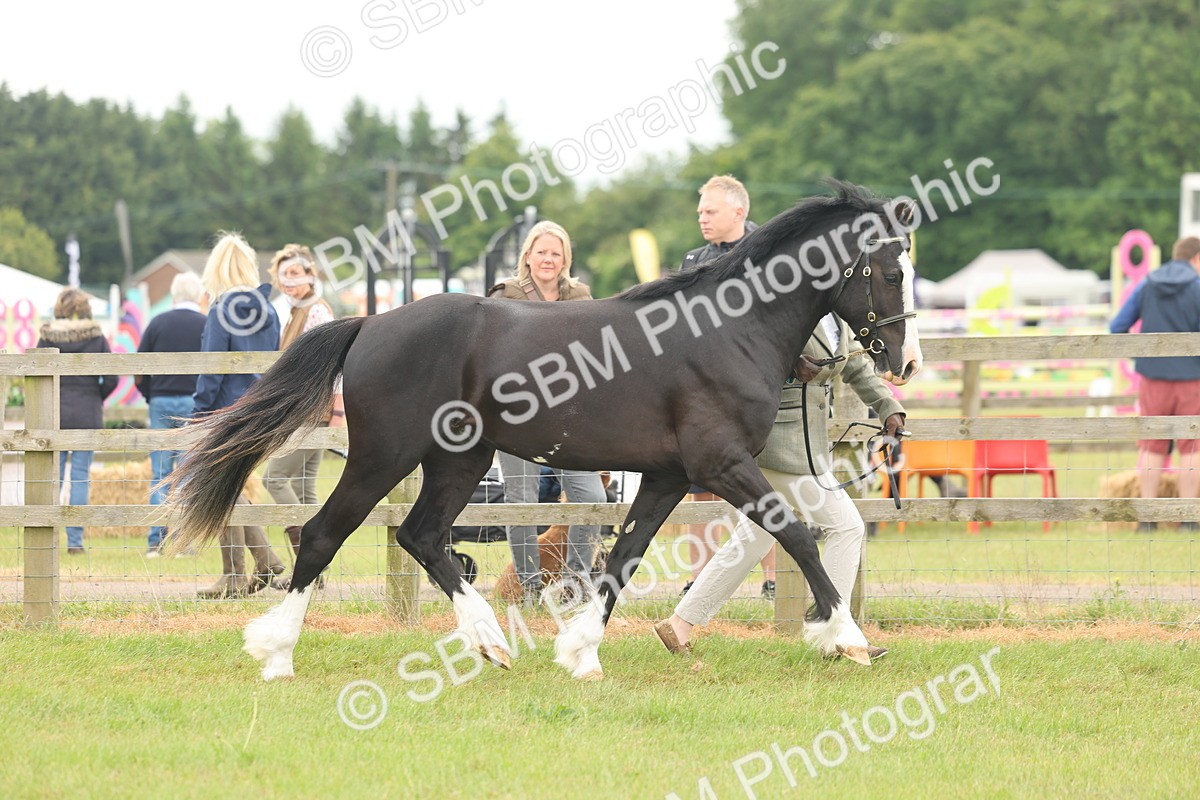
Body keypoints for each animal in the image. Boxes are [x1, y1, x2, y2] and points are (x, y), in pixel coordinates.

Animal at [167, 180, 922, 681]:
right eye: (890, 271)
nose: (903, 359)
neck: (729, 330)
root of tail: (372, 322)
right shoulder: (720, 464)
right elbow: (797, 537)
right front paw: (847, 637)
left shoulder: (667, 475)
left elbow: (624, 557)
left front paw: (580, 653)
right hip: (386, 456)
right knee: (326, 533)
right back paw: (277, 654)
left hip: (460, 460)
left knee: (423, 537)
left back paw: (490, 643)